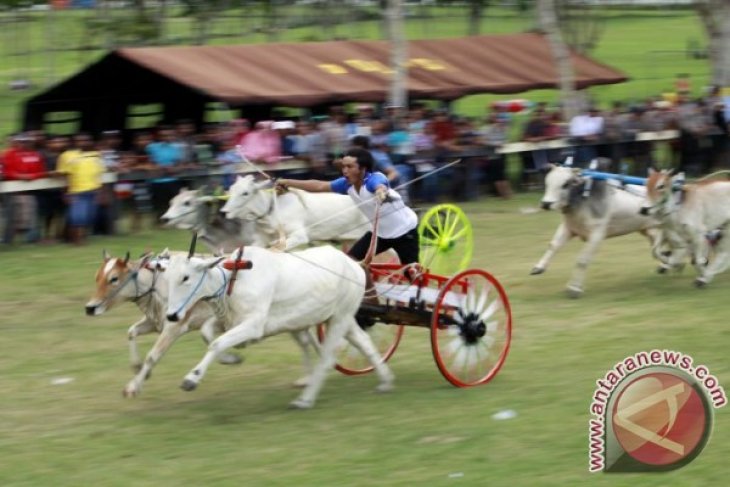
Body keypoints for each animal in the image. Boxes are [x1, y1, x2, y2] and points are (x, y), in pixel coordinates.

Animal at [165, 246, 392, 410]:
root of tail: (355, 264)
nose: (171, 315)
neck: (233, 278)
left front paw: (191, 379)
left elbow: (217, 343)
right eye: (168, 276)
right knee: (363, 342)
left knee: (328, 358)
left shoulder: (253, 325)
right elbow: (207, 334)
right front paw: (231, 359)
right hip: (340, 318)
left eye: (185, 277)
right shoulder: (229, 322)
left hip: (339, 319)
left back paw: (304, 400)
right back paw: (385, 381)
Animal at [219, 176, 370, 252]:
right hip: (350, 240)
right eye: (231, 189)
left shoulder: (299, 237)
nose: (224, 212)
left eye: (245, 193)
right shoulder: (261, 241)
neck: (272, 209)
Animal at [528, 165, 664, 298]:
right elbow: (553, 245)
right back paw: (663, 266)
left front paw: (574, 288)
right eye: (547, 182)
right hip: (648, 230)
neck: (583, 199)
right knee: (658, 249)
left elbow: (582, 260)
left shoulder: (596, 235)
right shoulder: (568, 228)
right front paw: (538, 268)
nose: (546, 204)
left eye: (566, 184)